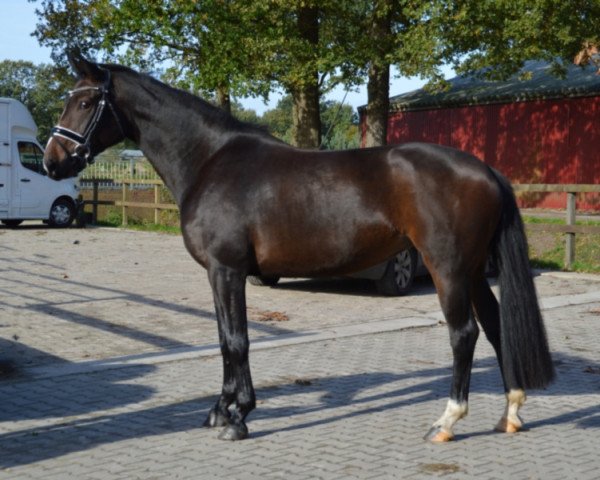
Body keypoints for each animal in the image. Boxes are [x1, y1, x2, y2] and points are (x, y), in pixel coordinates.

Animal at [44, 51, 556, 442]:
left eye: (86, 101)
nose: (52, 161)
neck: (211, 161)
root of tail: (484, 170)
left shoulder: (226, 269)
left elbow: (237, 340)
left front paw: (238, 417)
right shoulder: (219, 273)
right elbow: (225, 339)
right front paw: (220, 410)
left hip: (447, 269)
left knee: (463, 334)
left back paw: (447, 421)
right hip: (471, 271)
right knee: (495, 326)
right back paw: (510, 413)